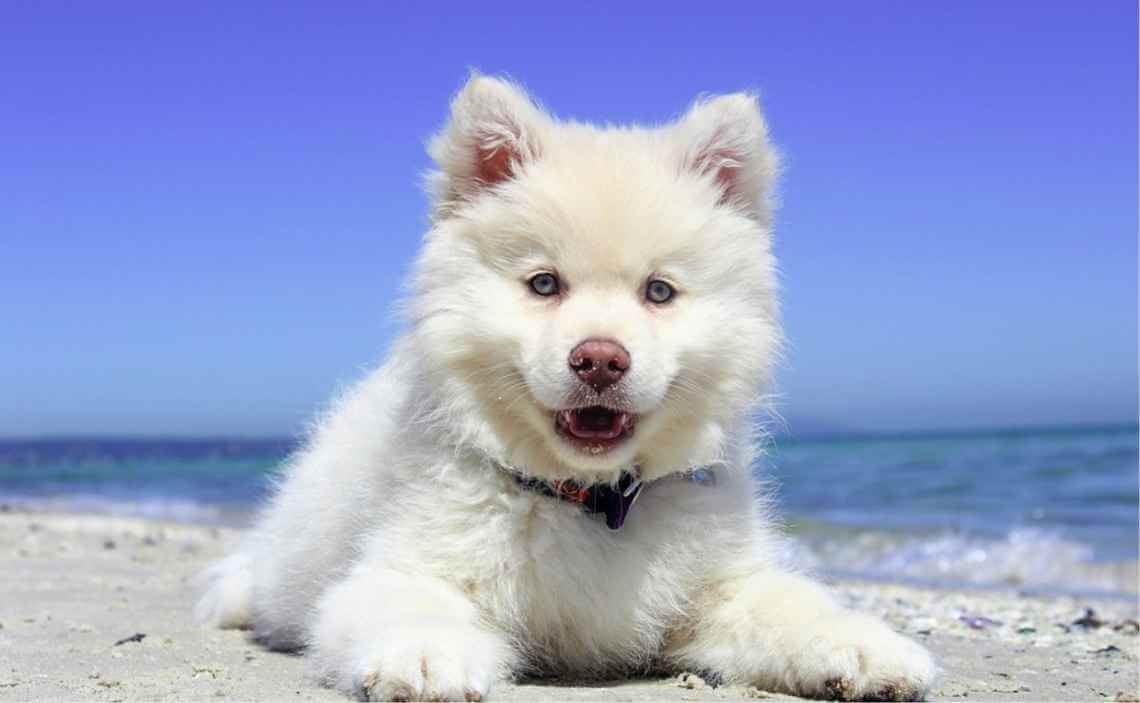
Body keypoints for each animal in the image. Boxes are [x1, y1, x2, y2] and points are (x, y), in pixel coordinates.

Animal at [198, 74, 934, 697]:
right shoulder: (403, 564)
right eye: (544, 283)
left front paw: (864, 646)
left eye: (658, 291)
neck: (591, 500)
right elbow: (407, 602)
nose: (600, 359)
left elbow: (790, 603)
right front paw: (426, 655)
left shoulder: (718, 588)